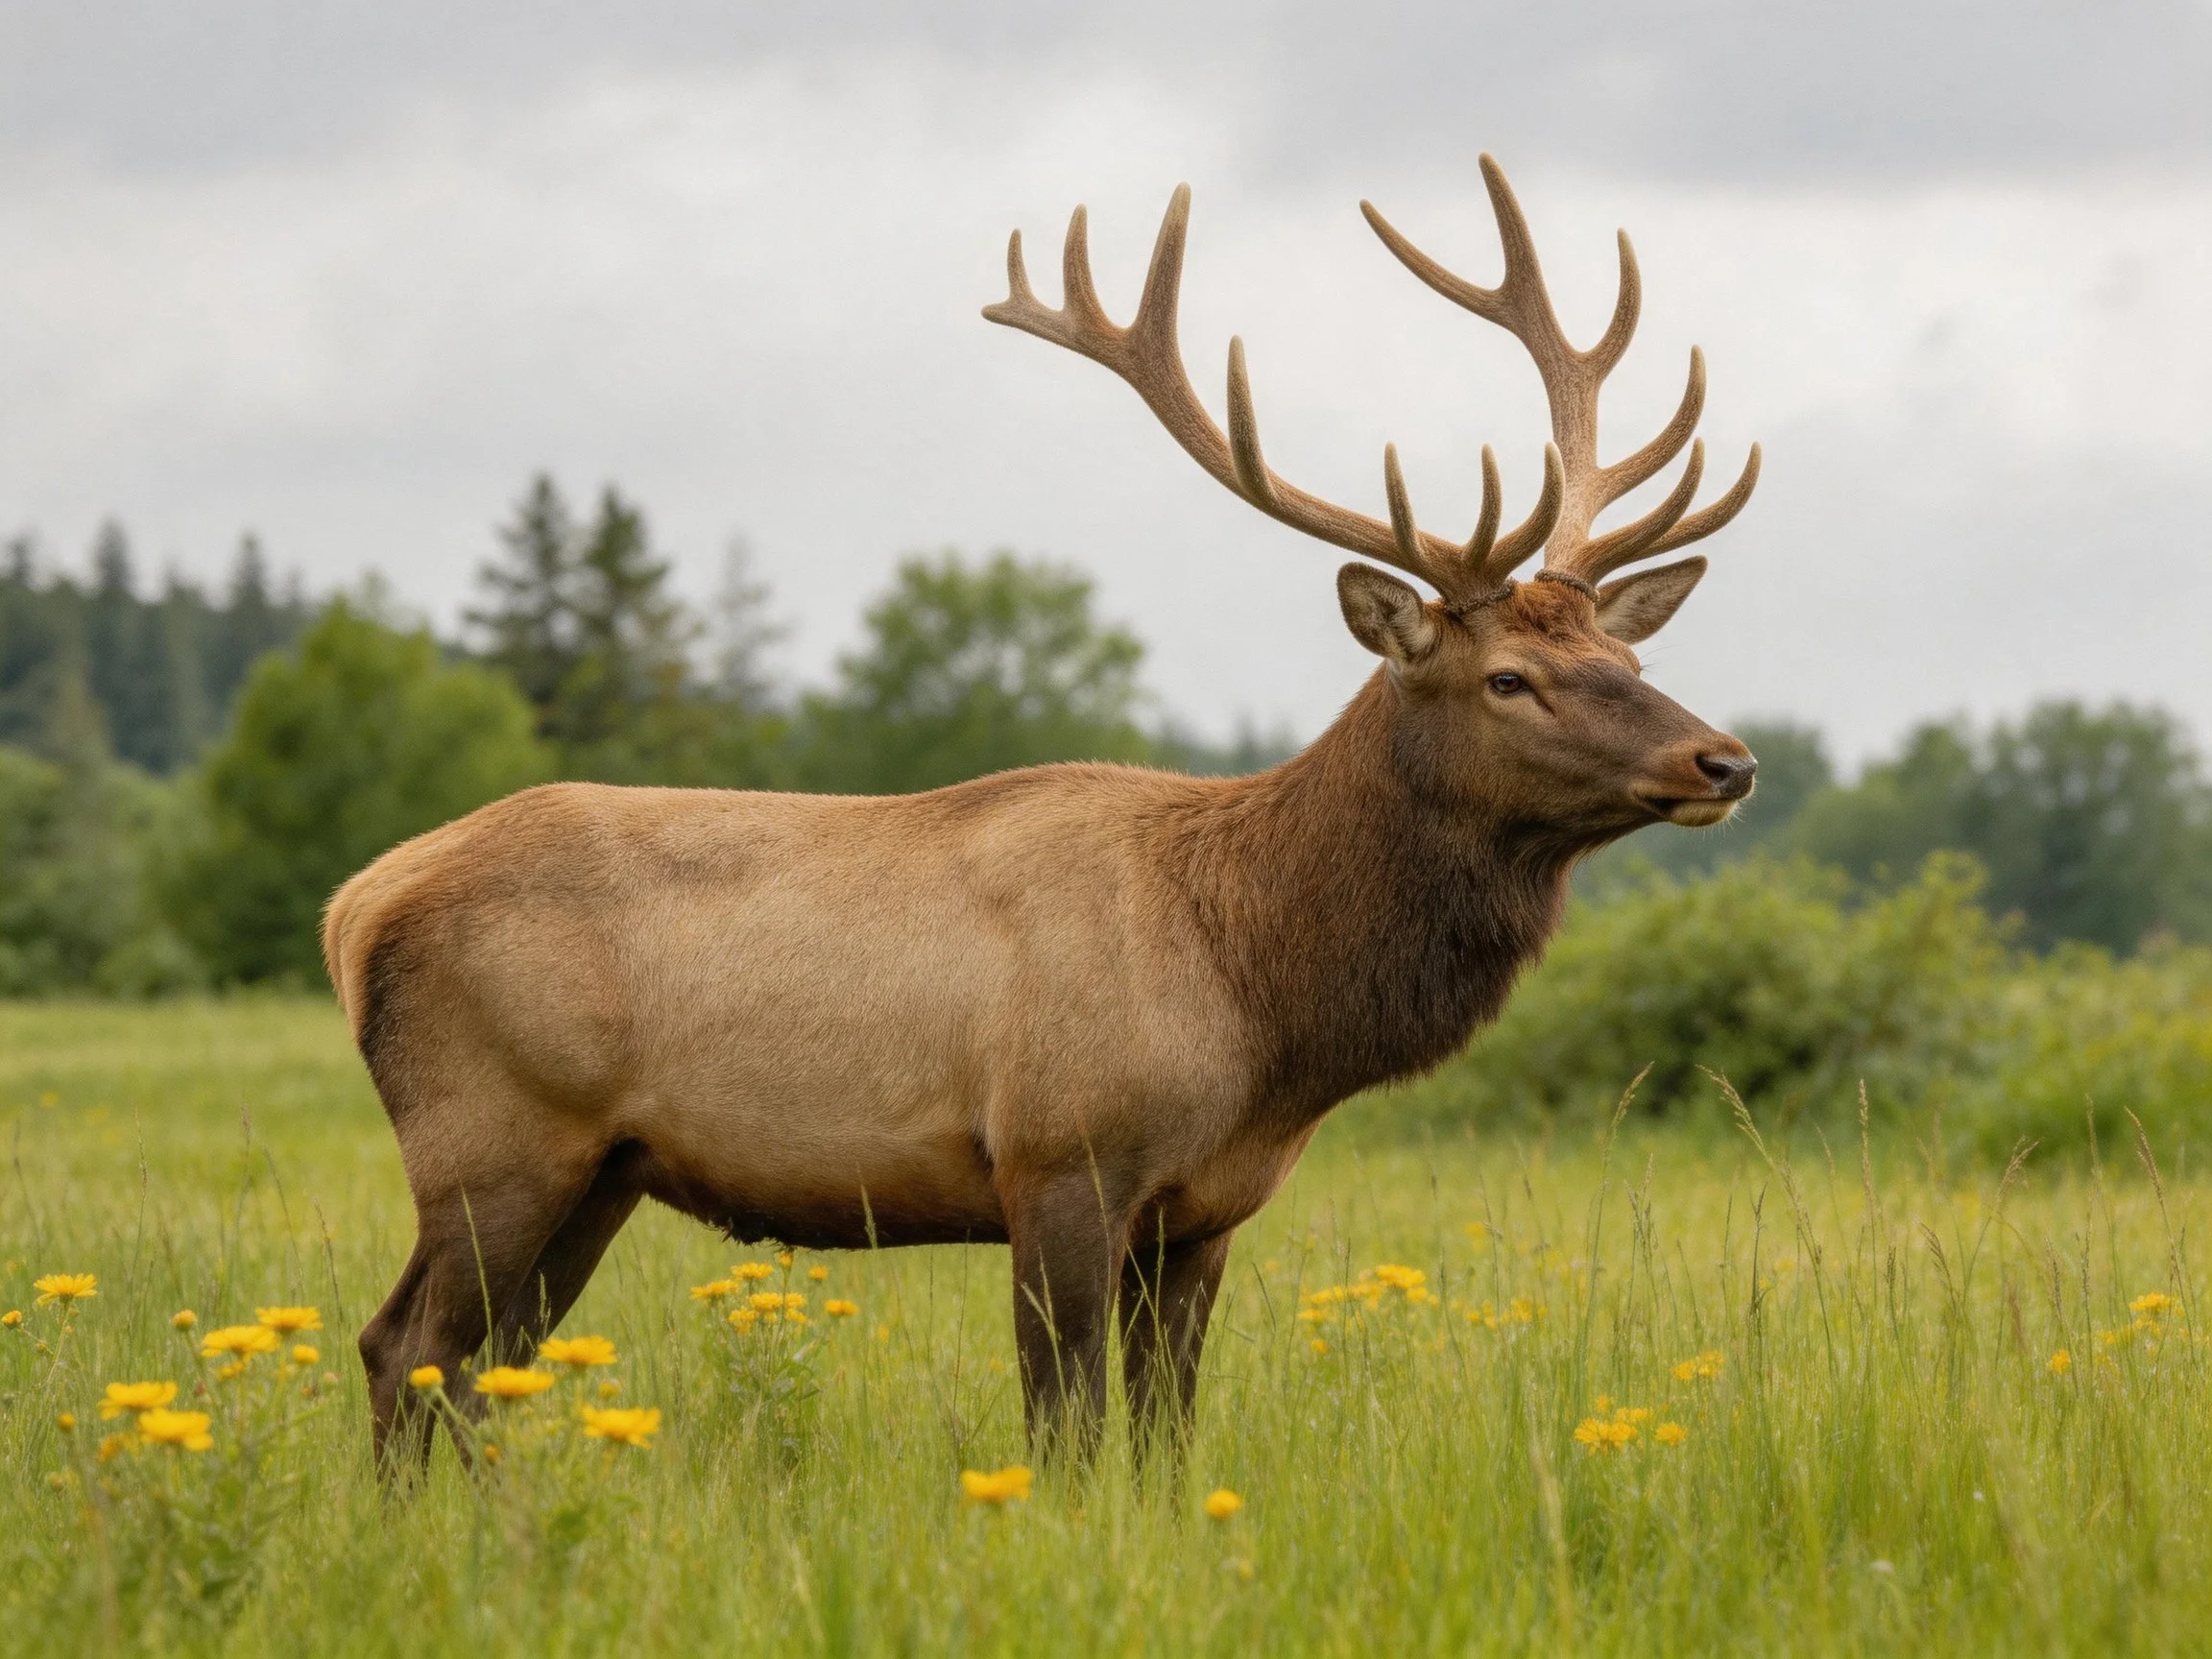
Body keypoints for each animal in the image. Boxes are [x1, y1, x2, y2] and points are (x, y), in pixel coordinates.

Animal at [326, 154, 1761, 1475]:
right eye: (1509, 678)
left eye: (1626, 657)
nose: (1724, 759)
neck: (1262, 1002)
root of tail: (357, 905)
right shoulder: (1060, 1154)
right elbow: (1066, 1428)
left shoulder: (1205, 1213)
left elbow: (1166, 1436)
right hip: (494, 1133)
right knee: (409, 1345)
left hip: (602, 1167)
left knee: (476, 1365)